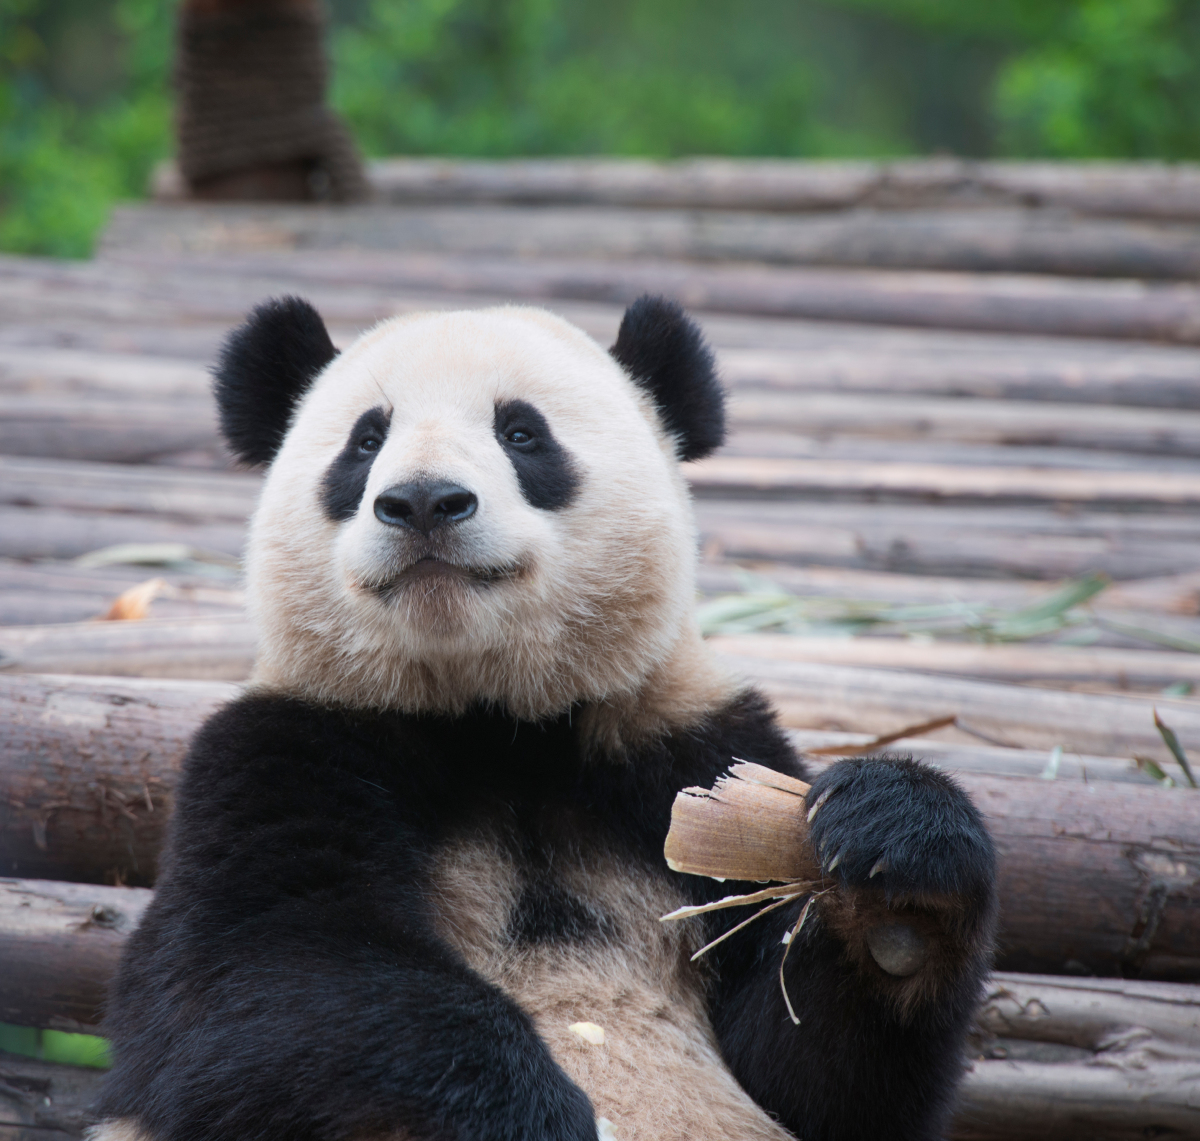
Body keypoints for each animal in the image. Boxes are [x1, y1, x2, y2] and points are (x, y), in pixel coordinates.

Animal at [91, 296, 993, 1141]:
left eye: (522, 432)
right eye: (365, 441)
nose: (424, 501)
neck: (496, 720)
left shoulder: (684, 752)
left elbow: (820, 1078)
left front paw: (898, 871)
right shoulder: (287, 746)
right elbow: (251, 983)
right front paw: (526, 1108)